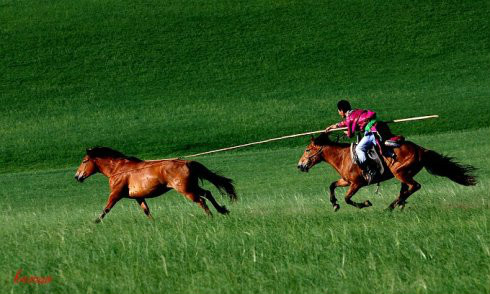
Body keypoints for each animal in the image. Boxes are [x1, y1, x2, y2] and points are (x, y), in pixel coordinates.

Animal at [74, 147, 237, 223]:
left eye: (84, 161)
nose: (77, 176)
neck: (119, 169)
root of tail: (187, 162)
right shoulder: (138, 197)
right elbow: (146, 211)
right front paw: (153, 223)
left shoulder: (116, 194)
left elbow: (106, 209)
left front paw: (95, 223)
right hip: (192, 187)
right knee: (207, 193)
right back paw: (222, 210)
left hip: (186, 190)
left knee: (201, 201)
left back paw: (211, 216)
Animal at [296, 133, 476, 211]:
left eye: (307, 150)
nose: (299, 165)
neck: (343, 157)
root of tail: (420, 149)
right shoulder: (346, 181)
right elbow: (332, 185)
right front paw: (334, 204)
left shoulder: (357, 183)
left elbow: (347, 198)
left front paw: (365, 204)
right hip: (405, 174)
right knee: (406, 188)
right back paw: (396, 204)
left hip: (400, 172)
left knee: (415, 186)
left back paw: (392, 206)